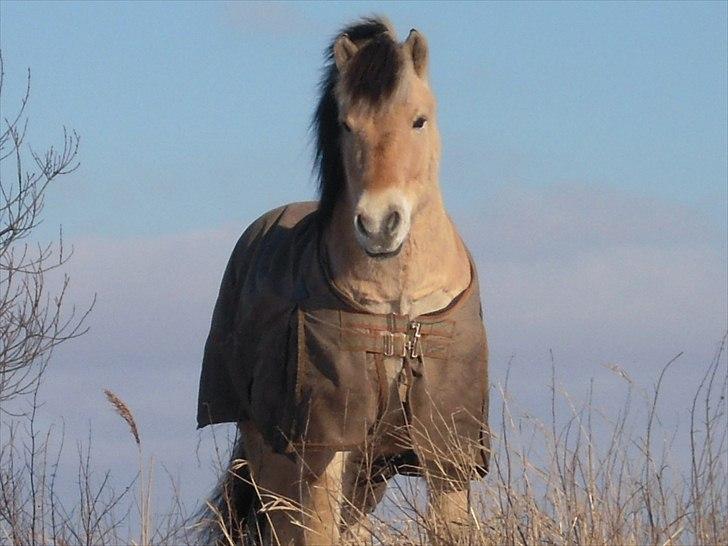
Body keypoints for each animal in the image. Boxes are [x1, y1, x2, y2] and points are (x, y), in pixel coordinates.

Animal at [198, 17, 490, 544]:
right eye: (347, 125)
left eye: (419, 120)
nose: (378, 225)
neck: (400, 313)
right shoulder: (324, 447)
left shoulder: (448, 450)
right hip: (273, 456)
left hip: (368, 472)